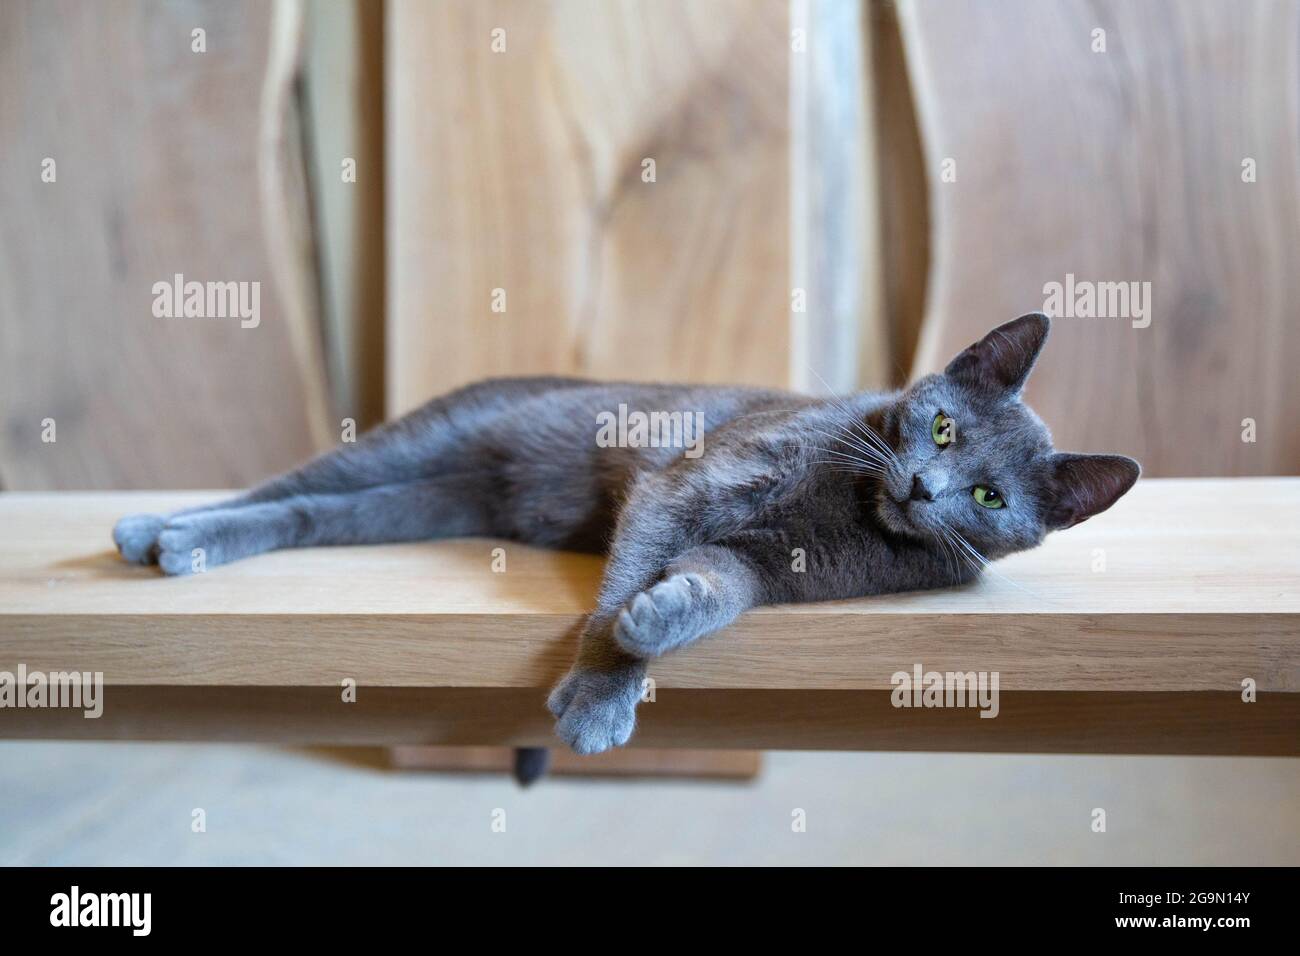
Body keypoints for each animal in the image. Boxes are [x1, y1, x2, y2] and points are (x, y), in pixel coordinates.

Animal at [116, 317, 1144, 759]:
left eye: (990, 497)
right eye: (941, 428)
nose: (927, 486)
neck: (842, 506)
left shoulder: (767, 569)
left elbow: (714, 592)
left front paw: (656, 619)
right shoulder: (687, 482)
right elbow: (626, 576)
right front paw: (604, 689)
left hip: (425, 500)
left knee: (310, 514)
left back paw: (179, 541)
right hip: (422, 440)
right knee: (283, 487)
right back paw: (159, 532)